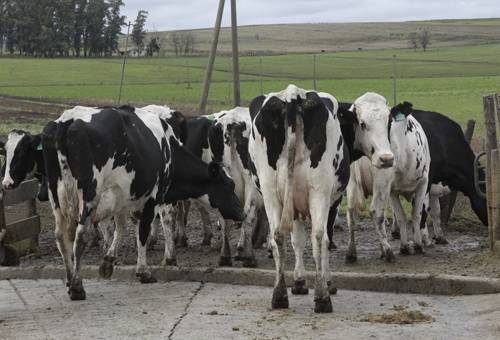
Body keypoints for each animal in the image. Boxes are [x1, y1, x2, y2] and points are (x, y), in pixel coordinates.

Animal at [248, 85, 350, 314]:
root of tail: (292, 95)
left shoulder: (292, 206)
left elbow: (296, 241)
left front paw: (299, 281)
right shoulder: (332, 203)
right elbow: (320, 240)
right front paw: (325, 282)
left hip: (270, 191)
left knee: (278, 236)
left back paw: (279, 296)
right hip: (320, 191)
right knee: (319, 236)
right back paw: (322, 298)